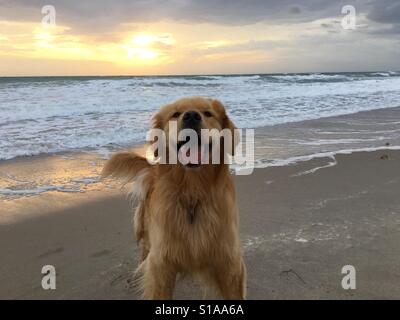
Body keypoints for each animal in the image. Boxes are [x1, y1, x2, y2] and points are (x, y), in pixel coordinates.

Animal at [102, 96, 247, 298]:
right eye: (176, 114)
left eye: (208, 113)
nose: (191, 116)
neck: (193, 194)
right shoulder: (161, 265)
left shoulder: (229, 262)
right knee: (144, 253)